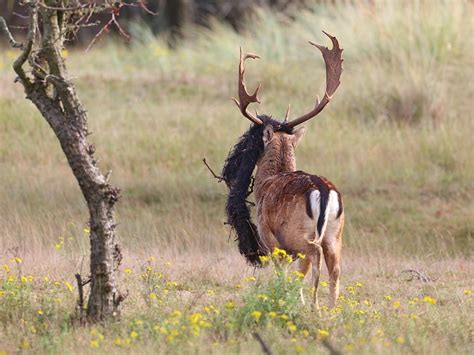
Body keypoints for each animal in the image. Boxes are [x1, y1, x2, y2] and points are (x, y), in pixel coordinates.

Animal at [222, 31, 344, 308]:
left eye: (251, 143)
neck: (267, 183)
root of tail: (324, 191)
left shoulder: (270, 238)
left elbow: (283, 273)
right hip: (336, 233)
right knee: (335, 270)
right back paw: (332, 311)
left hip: (299, 233)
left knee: (314, 256)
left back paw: (314, 307)